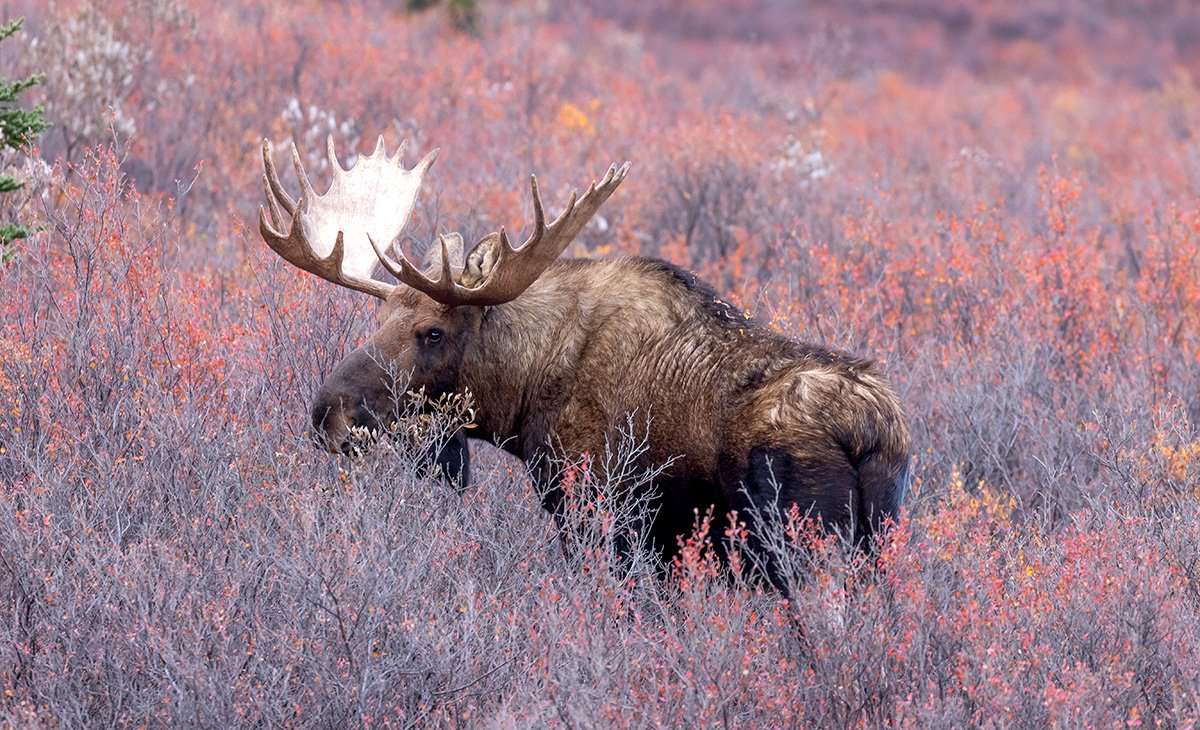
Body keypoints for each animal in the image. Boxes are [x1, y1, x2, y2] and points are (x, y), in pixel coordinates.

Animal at [258, 135, 912, 589]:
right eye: (379, 320)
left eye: (432, 332)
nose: (328, 412)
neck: (521, 398)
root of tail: (872, 431)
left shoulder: (597, 512)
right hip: (879, 540)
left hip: (802, 541)